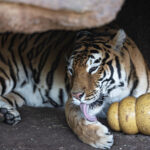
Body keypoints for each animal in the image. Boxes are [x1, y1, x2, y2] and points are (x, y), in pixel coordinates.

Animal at [0, 24, 149, 149]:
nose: (76, 95)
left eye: (93, 68)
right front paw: (99, 138)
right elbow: (74, 120)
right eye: (71, 70)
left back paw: (8, 114)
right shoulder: (71, 103)